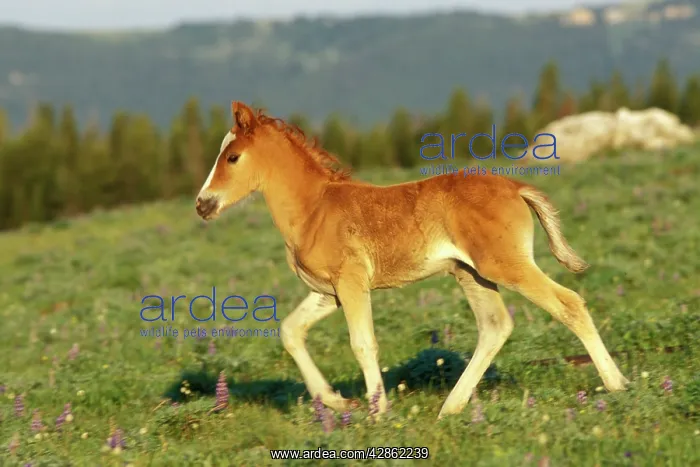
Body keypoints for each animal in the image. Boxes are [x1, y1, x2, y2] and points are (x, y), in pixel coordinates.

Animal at [195, 101, 629, 419]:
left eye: (232, 157)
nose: (202, 204)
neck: (315, 208)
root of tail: (515, 186)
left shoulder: (351, 282)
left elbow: (363, 343)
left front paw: (377, 411)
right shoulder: (328, 292)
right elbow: (290, 331)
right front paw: (337, 400)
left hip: (505, 265)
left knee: (569, 304)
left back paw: (616, 384)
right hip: (470, 273)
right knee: (495, 326)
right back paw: (450, 408)